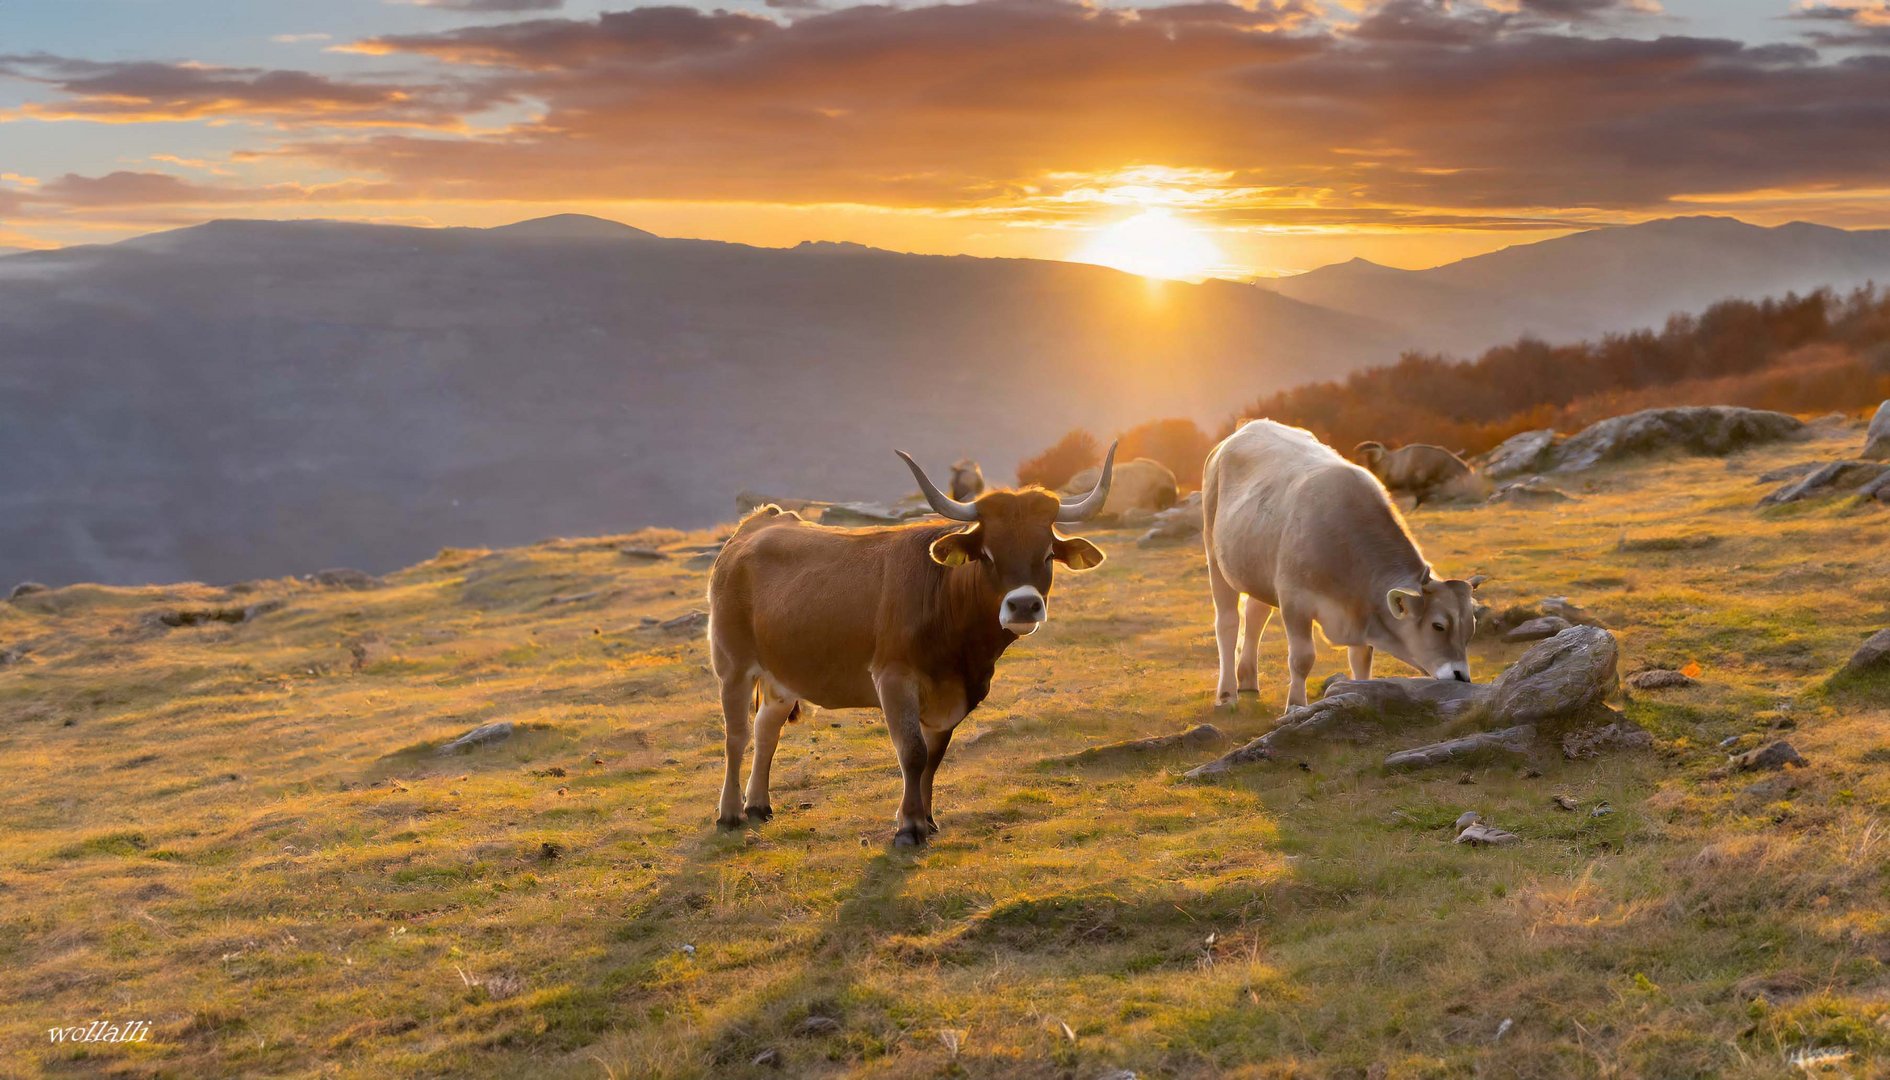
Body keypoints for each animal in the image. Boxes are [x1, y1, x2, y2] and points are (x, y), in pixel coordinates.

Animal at [710, 438, 1118, 843]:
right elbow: (913, 752)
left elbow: (933, 759)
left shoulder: (952, 696)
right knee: (737, 735)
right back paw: (729, 813)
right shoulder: (893, 678)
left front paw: (928, 819)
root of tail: (759, 521)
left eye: (1047, 554)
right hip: (733, 665)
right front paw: (909, 826)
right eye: (987, 555)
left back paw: (758, 804)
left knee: (766, 728)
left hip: (782, 672)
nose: (1023, 605)